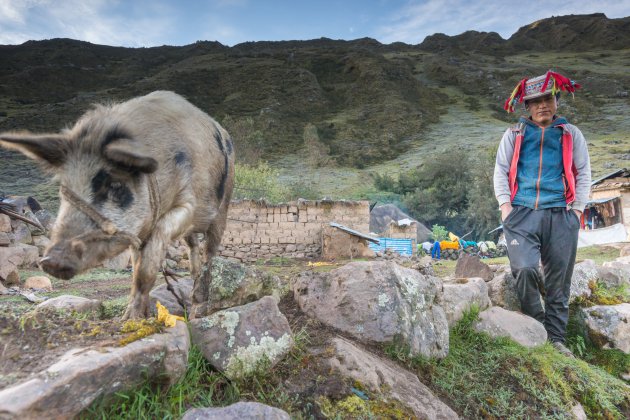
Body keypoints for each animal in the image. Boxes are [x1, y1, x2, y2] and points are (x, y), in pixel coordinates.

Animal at [0, 91, 235, 318]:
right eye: (64, 188)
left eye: (115, 184)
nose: (50, 260)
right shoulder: (136, 233)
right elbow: (136, 269)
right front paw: (133, 317)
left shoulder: (187, 204)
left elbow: (148, 264)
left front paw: (133, 319)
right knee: (193, 248)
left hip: (223, 205)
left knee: (210, 251)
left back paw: (200, 300)